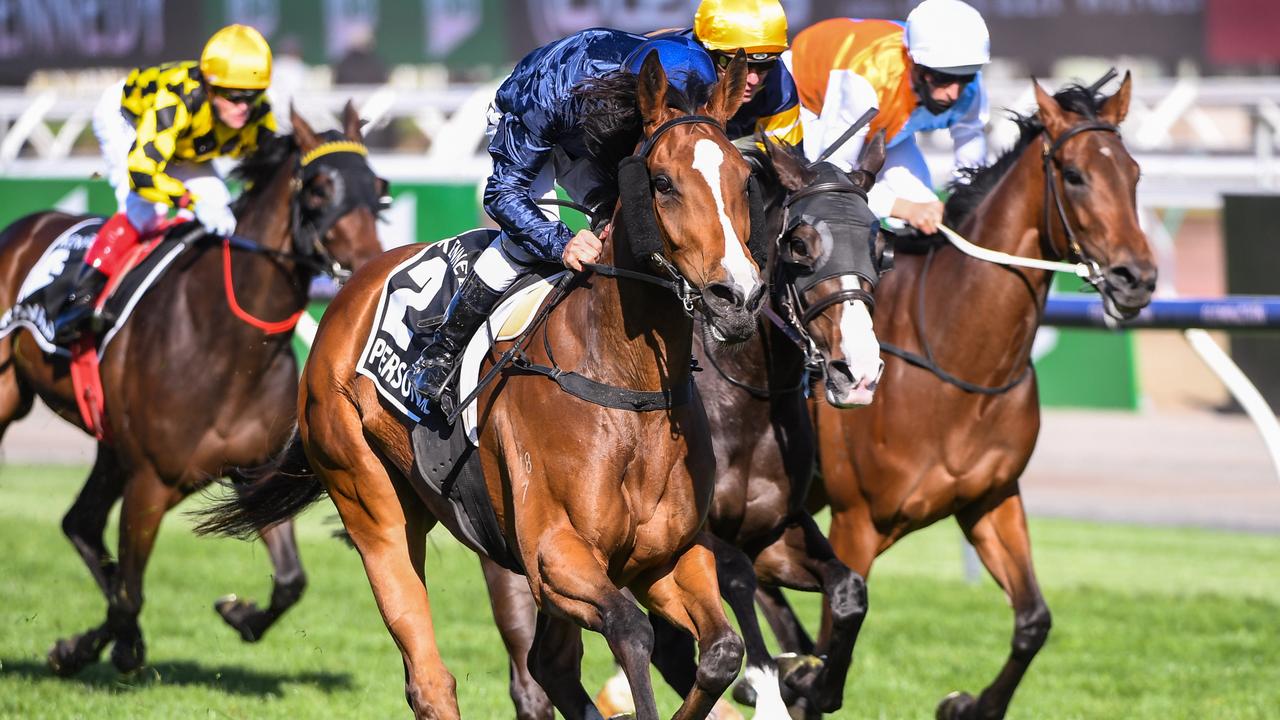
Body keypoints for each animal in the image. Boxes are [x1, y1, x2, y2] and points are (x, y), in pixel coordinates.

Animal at [195, 53, 762, 712]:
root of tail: (351, 292)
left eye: (744, 181)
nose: (737, 298)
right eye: (664, 183)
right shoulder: (554, 554)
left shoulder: (666, 556)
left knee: (549, 663)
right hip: (370, 500)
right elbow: (631, 630)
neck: (625, 383)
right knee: (429, 675)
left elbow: (722, 651)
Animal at [757, 73, 1162, 717]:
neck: (955, 359)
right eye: (1074, 174)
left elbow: (1033, 621)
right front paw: (805, 680)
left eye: (1135, 173)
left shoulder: (991, 499)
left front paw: (968, 703)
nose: (1136, 279)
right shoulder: (856, 522)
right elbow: (833, 633)